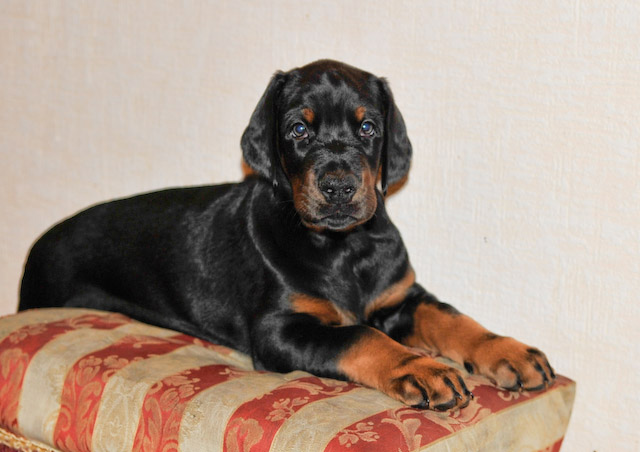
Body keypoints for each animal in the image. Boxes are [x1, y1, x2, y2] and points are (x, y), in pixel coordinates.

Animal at [19, 60, 554, 411]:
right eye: (298, 129)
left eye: (368, 127)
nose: (337, 186)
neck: (343, 247)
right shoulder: (278, 330)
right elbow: (359, 335)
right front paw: (419, 368)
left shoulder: (400, 296)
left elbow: (450, 317)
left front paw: (509, 351)